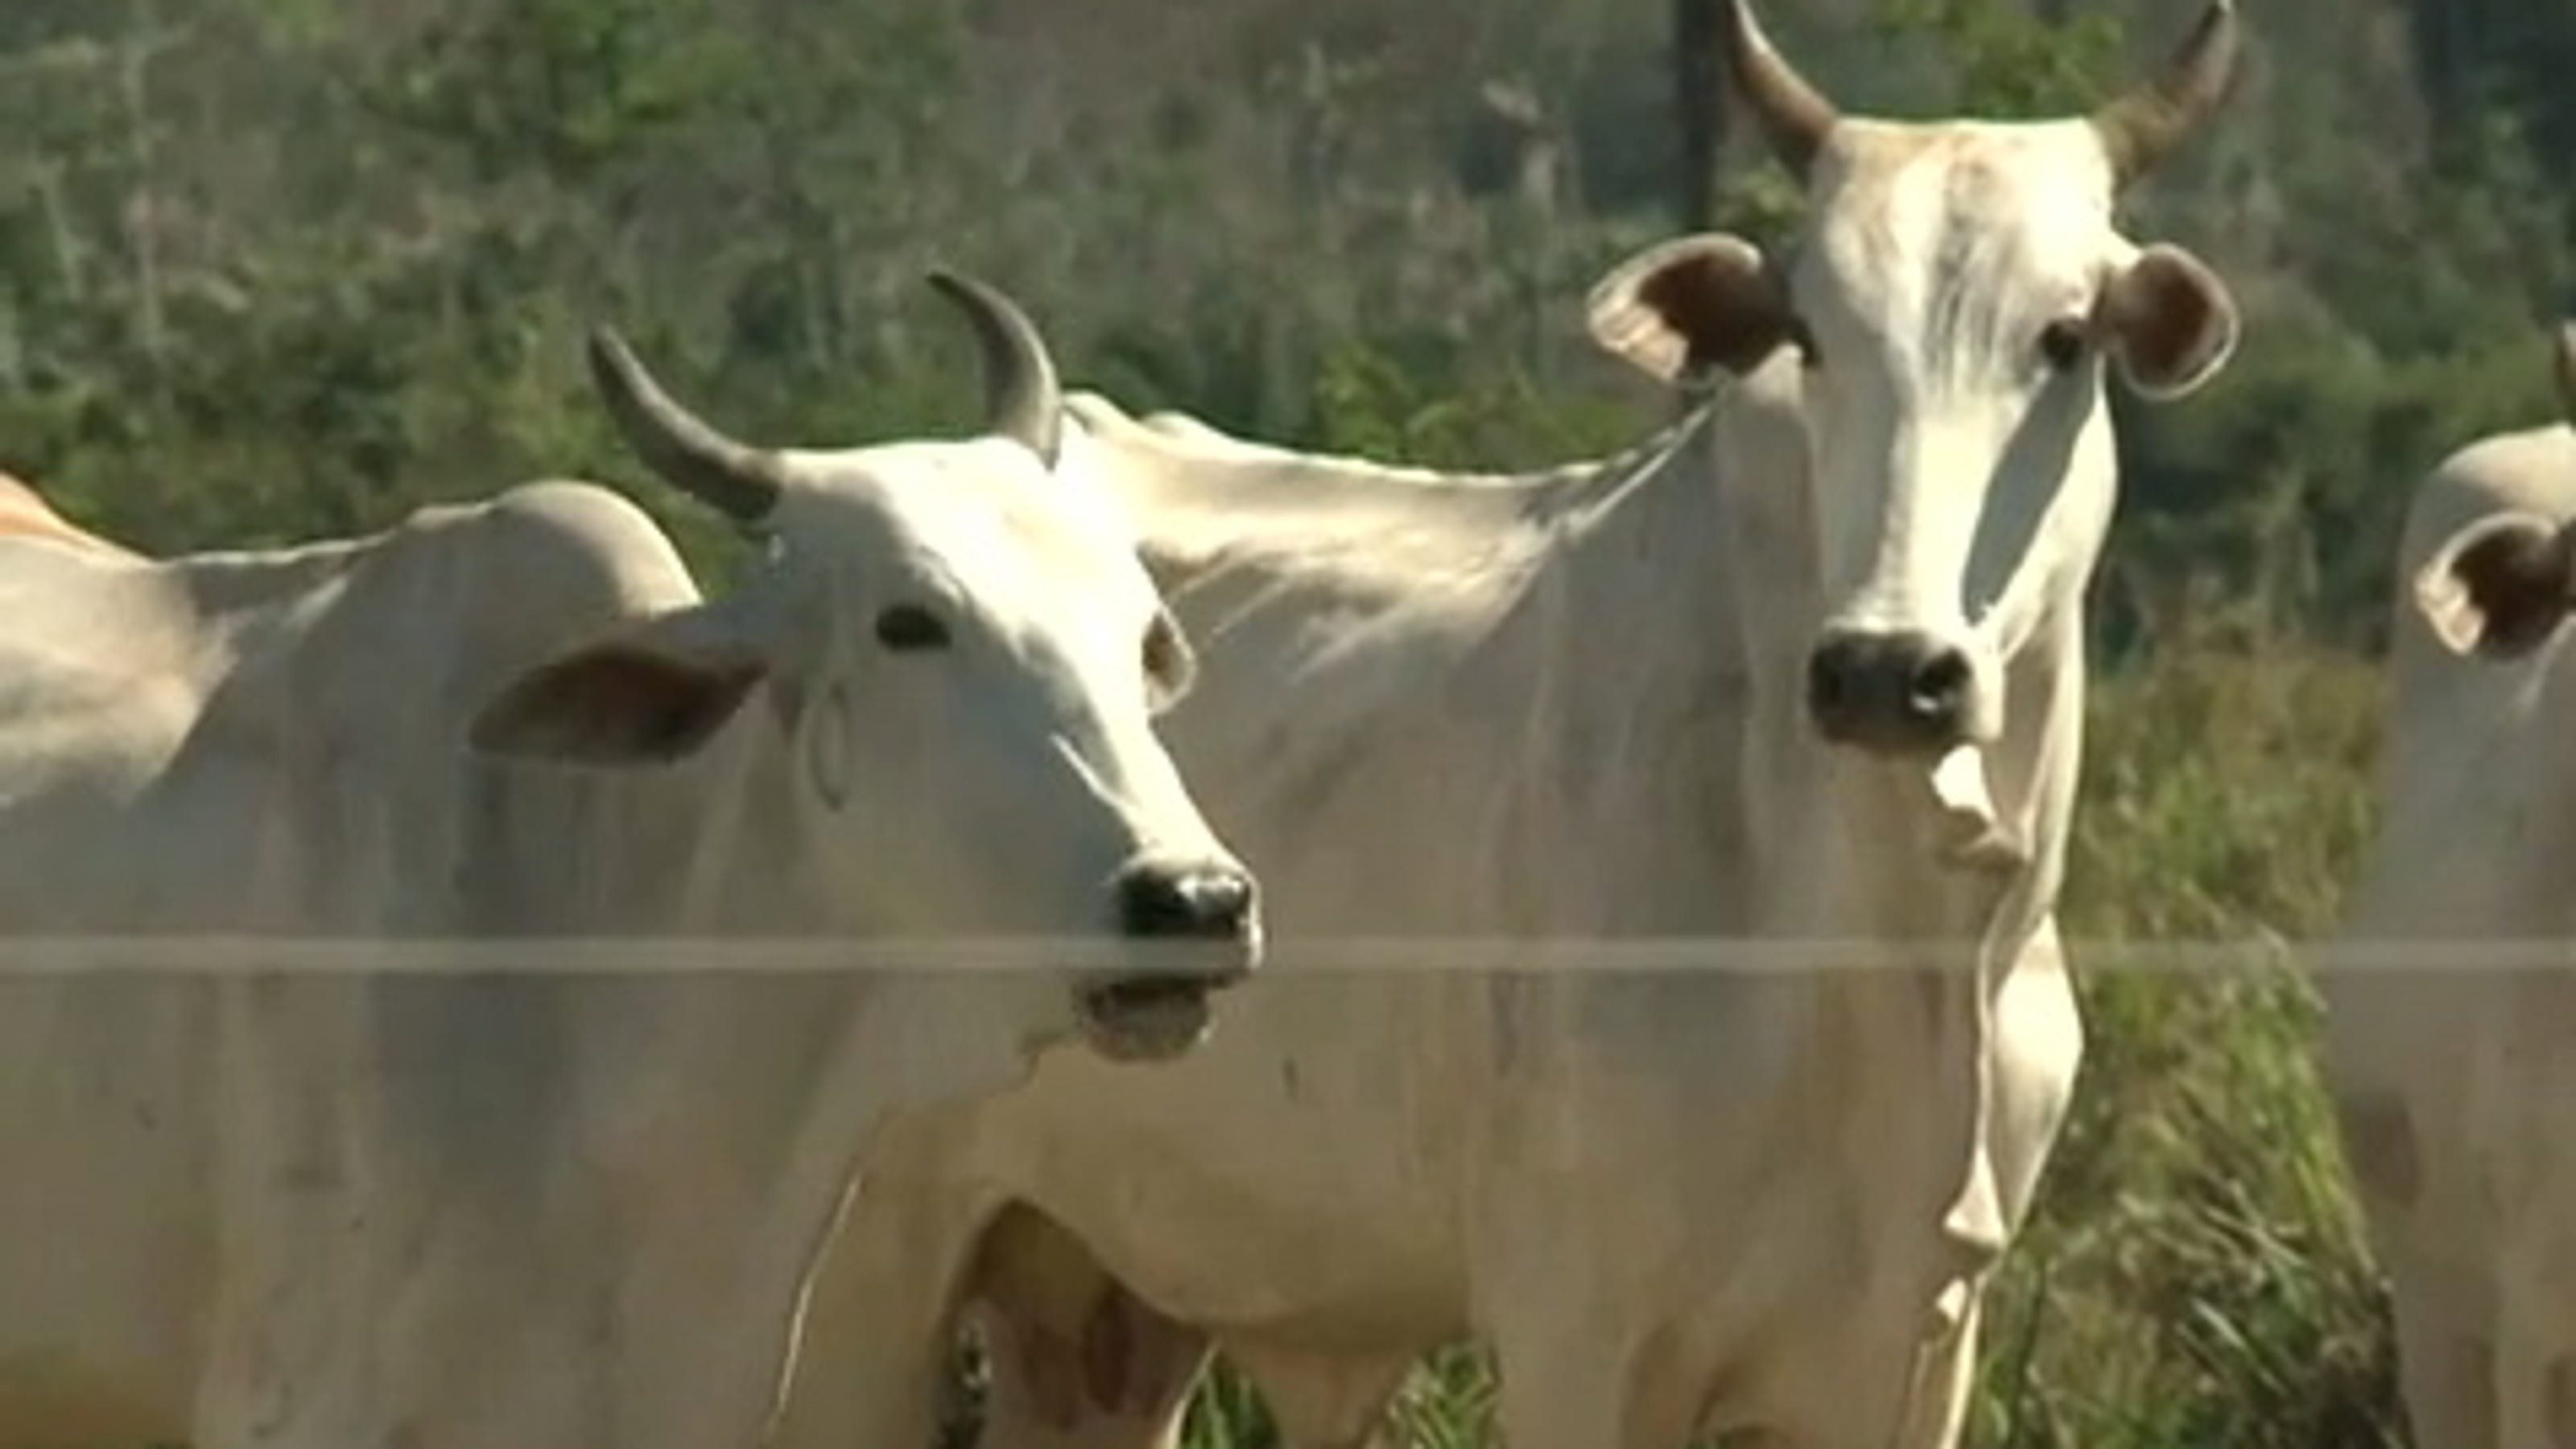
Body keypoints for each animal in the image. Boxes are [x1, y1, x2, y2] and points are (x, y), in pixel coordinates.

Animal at [772, 5, 2247, 1447]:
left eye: (2062, 337)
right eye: (1815, 334)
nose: (1888, 672)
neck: (1894, 943)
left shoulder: (1910, 1350)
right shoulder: (1583, 1330)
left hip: (1104, 1305)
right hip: (857, 1274)